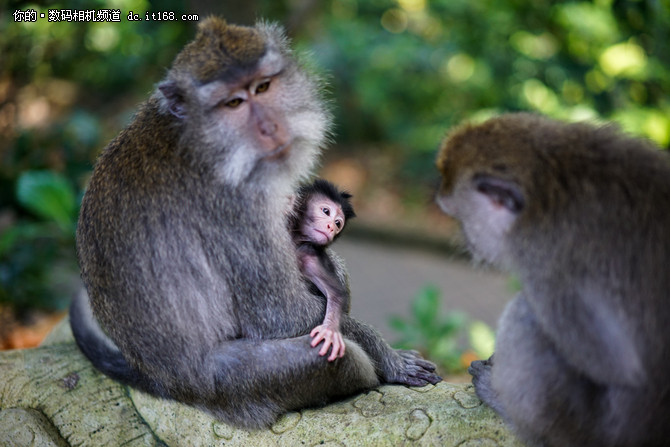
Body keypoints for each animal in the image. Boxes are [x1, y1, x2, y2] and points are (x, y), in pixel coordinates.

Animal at [288, 178, 356, 360]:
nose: (331, 226)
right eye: (326, 211)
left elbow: (336, 294)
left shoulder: (309, 254)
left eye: (338, 223)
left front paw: (330, 330)